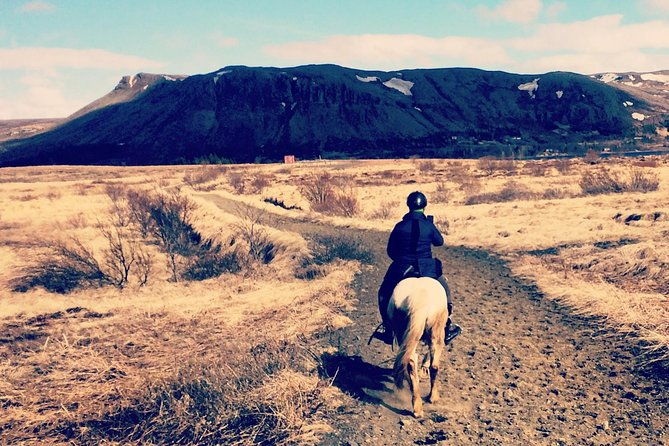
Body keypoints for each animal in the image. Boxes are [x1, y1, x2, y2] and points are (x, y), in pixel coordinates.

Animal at [388, 276, 448, 418]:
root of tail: (420, 294)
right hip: (437, 332)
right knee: (434, 366)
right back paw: (432, 397)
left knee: (411, 363)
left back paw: (417, 406)